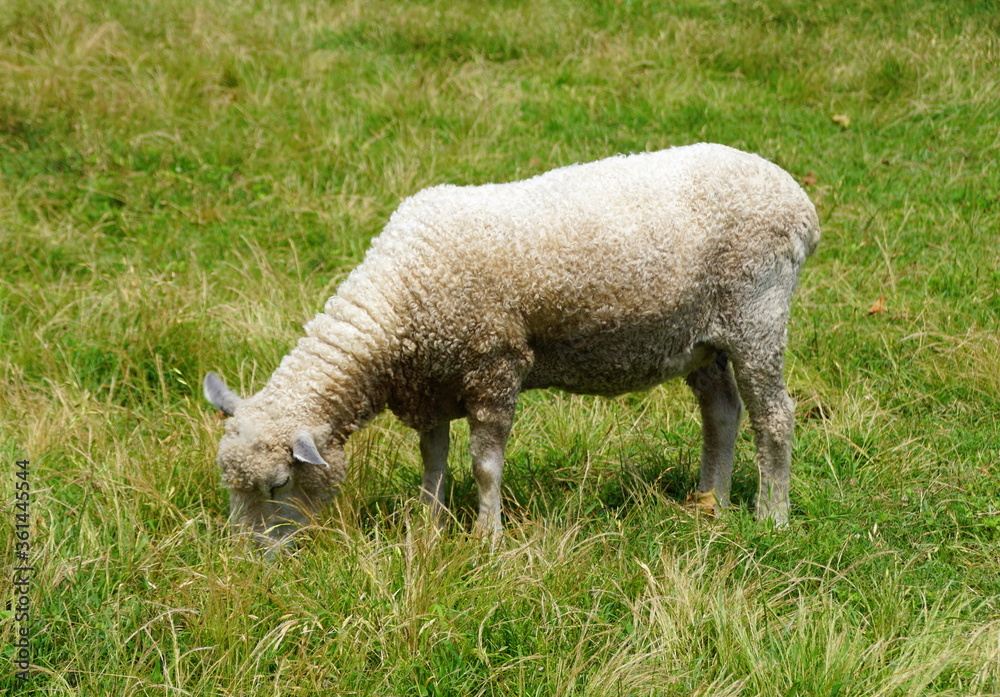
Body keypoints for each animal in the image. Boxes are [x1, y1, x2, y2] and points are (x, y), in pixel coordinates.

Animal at [204, 142, 820, 550]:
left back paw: (772, 515)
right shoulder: (434, 377)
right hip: (701, 338)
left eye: (280, 484)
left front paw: (487, 538)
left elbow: (483, 466)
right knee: (722, 412)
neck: (398, 302)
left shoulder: (493, 367)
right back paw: (709, 503)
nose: (245, 561)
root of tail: (799, 201)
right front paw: (428, 526)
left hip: (757, 314)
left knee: (774, 417)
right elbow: (434, 459)